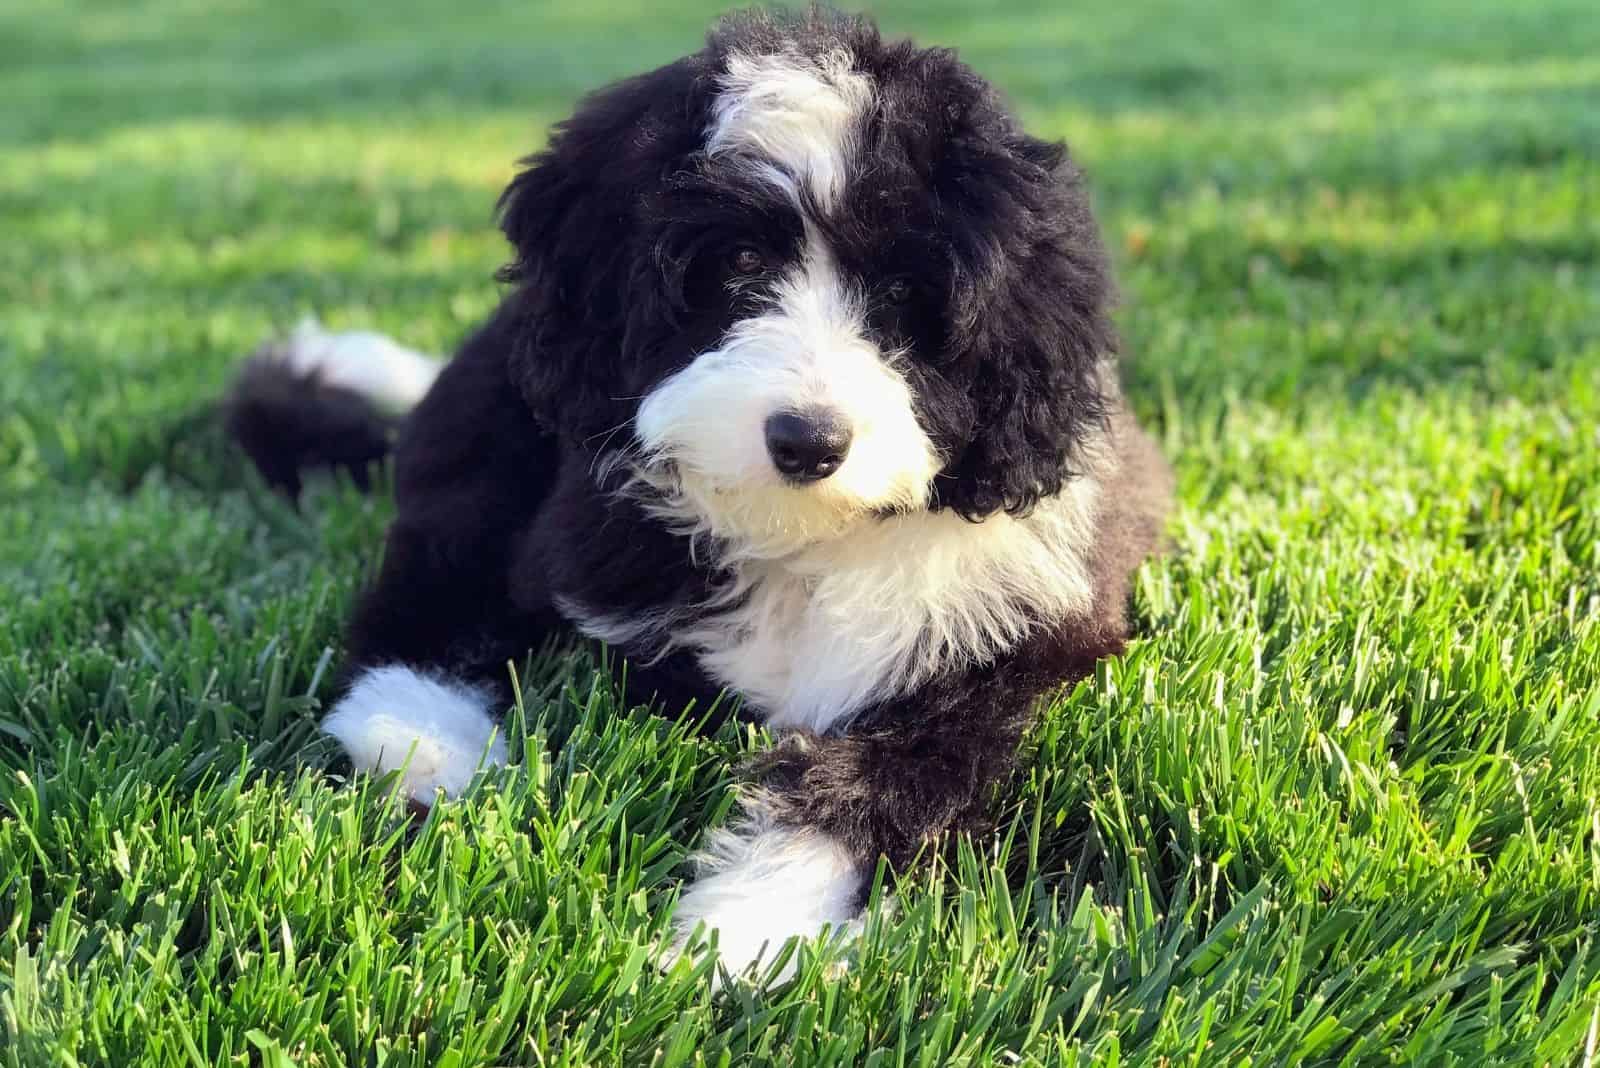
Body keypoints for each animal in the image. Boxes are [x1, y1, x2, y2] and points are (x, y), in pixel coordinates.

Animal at [225, 4, 1171, 978]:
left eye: (906, 290)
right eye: (740, 262)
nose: (808, 441)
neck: (803, 540)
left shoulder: (1007, 644)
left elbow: (896, 776)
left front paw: (752, 929)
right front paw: (747, 932)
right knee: (437, 570)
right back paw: (420, 741)